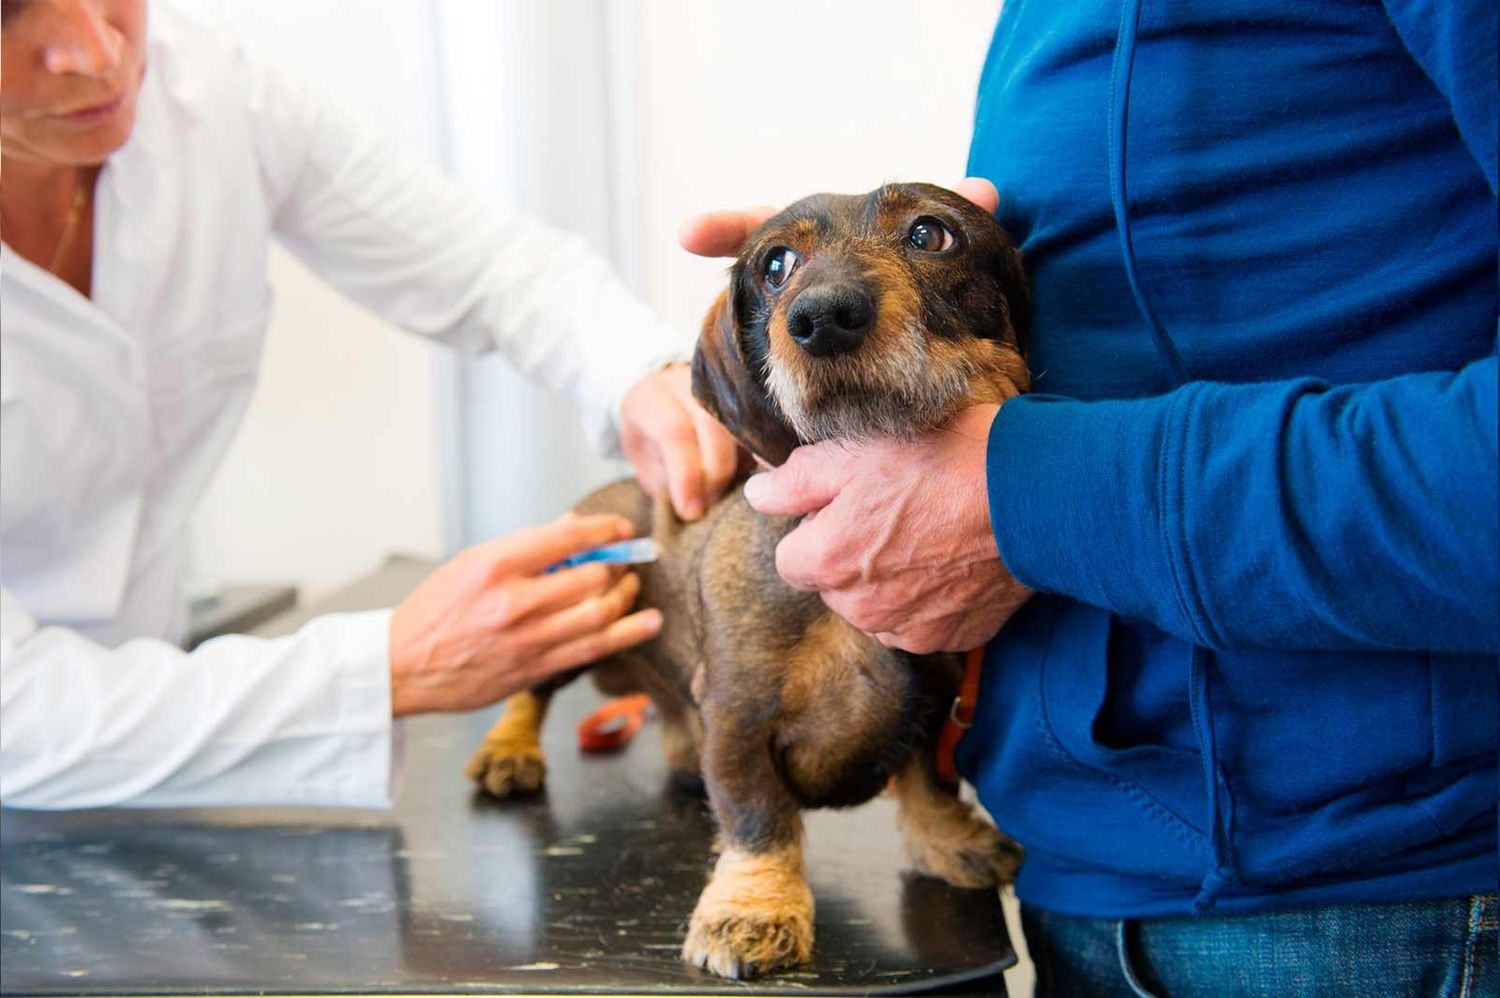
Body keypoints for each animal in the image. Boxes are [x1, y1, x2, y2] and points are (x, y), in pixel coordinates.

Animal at [465, 183, 1032, 978]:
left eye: (931, 234)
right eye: (776, 264)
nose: (821, 319)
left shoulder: (934, 700)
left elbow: (927, 779)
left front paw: (948, 840)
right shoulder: (738, 714)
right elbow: (759, 817)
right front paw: (753, 908)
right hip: (583, 609)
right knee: (533, 687)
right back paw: (509, 751)